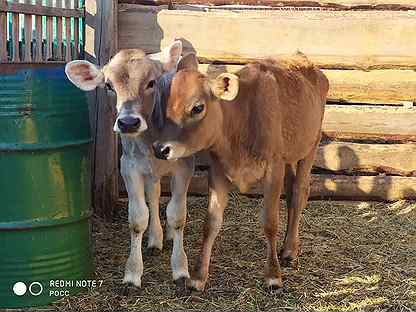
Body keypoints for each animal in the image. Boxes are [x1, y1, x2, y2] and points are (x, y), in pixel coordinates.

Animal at [153, 53, 328, 290]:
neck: (240, 121)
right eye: (166, 104)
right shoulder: (218, 170)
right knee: (292, 192)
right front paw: (198, 277)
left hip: (310, 147)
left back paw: (290, 250)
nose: (160, 148)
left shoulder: (274, 167)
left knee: (300, 191)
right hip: (290, 156)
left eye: (197, 107)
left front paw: (273, 275)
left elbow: (269, 222)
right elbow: (211, 223)